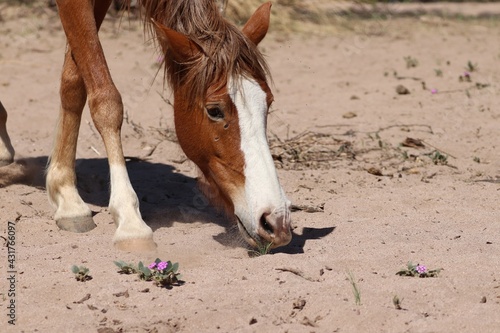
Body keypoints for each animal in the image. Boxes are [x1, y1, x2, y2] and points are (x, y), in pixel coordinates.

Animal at [2, 0, 292, 249]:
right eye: (214, 111)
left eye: (269, 102)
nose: (276, 223)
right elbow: (106, 100)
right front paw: (128, 220)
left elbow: (74, 83)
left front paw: (66, 196)